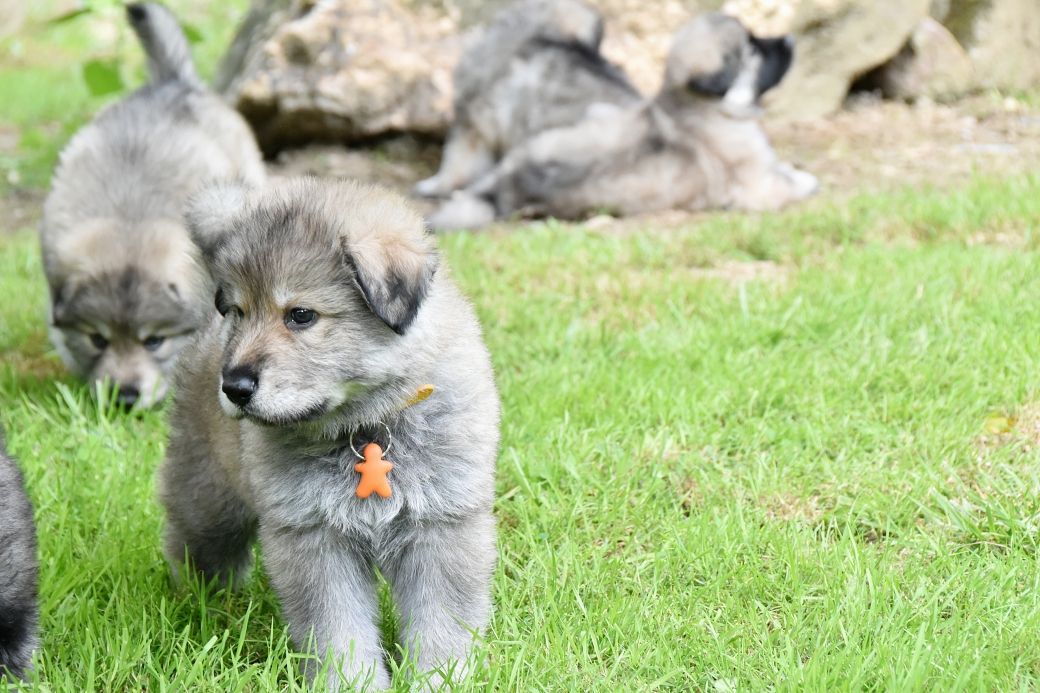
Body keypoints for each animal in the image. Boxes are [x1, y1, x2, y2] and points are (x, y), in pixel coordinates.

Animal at [159, 178, 500, 689]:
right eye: (239, 311)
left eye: (300, 315)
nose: (234, 386)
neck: (366, 426)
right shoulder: (315, 537)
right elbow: (339, 631)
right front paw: (353, 682)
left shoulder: (443, 525)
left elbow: (441, 622)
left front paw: (438, 678)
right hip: (208, 499)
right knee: (196, 547)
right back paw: (201, 603)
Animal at [428, 12, 818, 229]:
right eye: (754, 47)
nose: (790, 38)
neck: (698, 108)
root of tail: (505, 188)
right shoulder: (757, 187)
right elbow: (787, 183)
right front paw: (806, 180)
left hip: (588, 119)